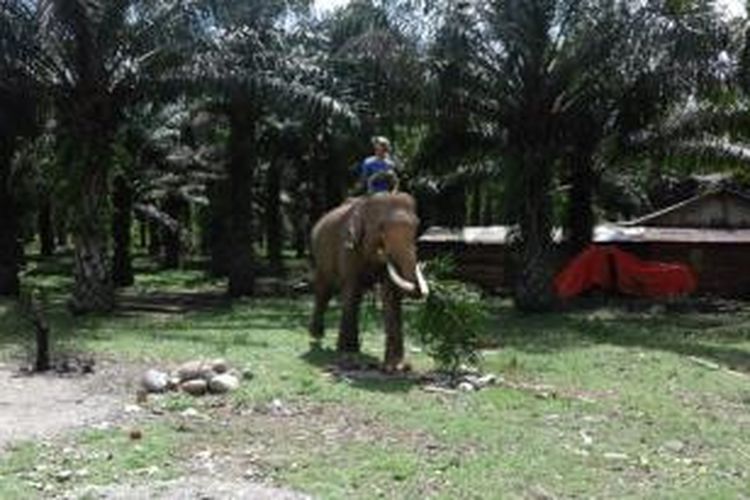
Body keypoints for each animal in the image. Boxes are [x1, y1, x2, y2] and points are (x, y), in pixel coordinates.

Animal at [310, 192, 428, 372]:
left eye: (417, 226)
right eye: (381, 227)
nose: (419, 290)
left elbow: (390, 295)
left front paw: (396, 366)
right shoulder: (348, 247)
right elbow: (351, 289)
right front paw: (346, 351)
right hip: (320, 256)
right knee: (325, 291)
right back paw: (317, 335)